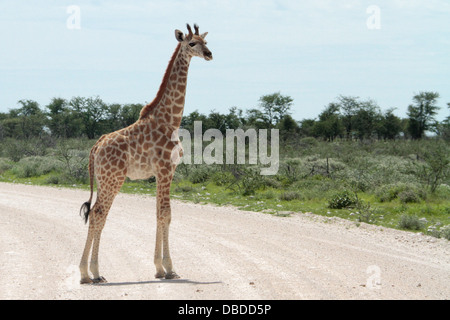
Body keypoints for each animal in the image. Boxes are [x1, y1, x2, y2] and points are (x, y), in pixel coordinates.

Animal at [78, 23, 213, 284]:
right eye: (192, 43)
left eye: (205, 41)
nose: (210, 54)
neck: (170, 120)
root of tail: (96, 147)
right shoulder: (165, 169)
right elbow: (166, 214)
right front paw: (169, 269)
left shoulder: (162, 173)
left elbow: (160, 214)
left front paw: (159, 269)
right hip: (113, 179)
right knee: (99, 214)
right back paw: (92, 273)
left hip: (103, 179)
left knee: (96, 215)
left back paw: (89, 274)